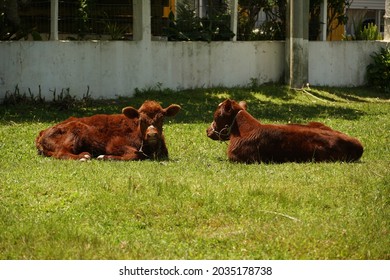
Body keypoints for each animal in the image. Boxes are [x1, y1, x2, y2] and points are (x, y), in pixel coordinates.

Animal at [35, 100, 181, 162]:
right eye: (141, 120)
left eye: (161, 118)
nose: (151, 134)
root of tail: (42, 132)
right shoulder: (114, 144)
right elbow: (134, 155)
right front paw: (105, 157)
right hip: (74, 131)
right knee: (61, 153)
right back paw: (83, 157)